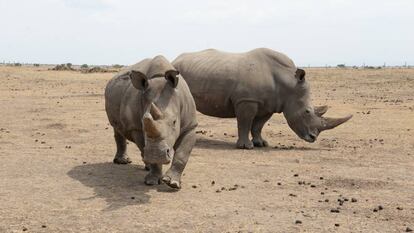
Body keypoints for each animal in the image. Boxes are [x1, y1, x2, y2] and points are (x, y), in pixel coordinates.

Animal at [106, 55, 198, 188]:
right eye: (143, 121)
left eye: (174, 122)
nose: (156, 154)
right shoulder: (136, 128)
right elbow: (144, 146)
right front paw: (152, 181)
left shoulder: (190, 126)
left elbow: (182, 154)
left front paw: (173, 183)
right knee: (117, 129)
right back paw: (124, 162)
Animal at [173, 48, 350, 149]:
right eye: (307, 111)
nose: (313, 138)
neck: (288, 82)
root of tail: (175, 59)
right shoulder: (247, 100)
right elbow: (245, 123)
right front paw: (246, 147)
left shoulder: (270, 104)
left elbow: (258, 125)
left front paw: (261, 144)